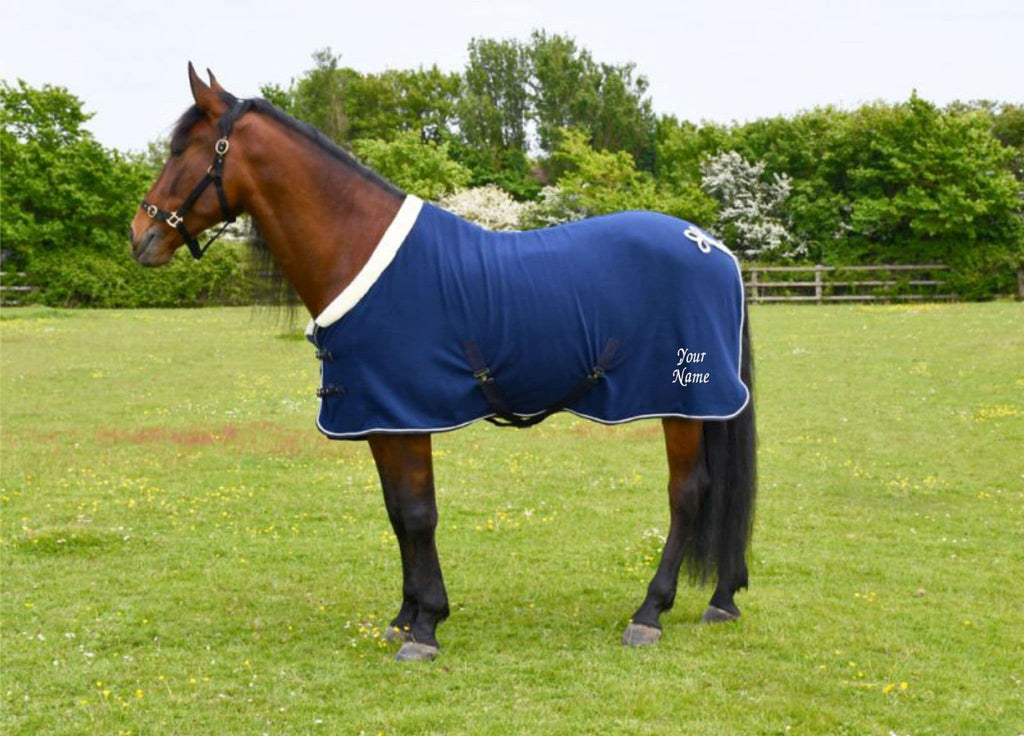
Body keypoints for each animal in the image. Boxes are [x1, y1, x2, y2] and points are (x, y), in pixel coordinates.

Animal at [129, 64, 757, 662]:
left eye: (181, 150)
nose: (140, 235)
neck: (358, 249)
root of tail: (711, 246)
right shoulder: (381, 418)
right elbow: (396, 514)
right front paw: (404, 616)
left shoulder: (407, 418)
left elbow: (417, 513)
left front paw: (426, 626)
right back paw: (721, 598)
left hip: (681, 401)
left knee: (688, 493)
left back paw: (649, 613)